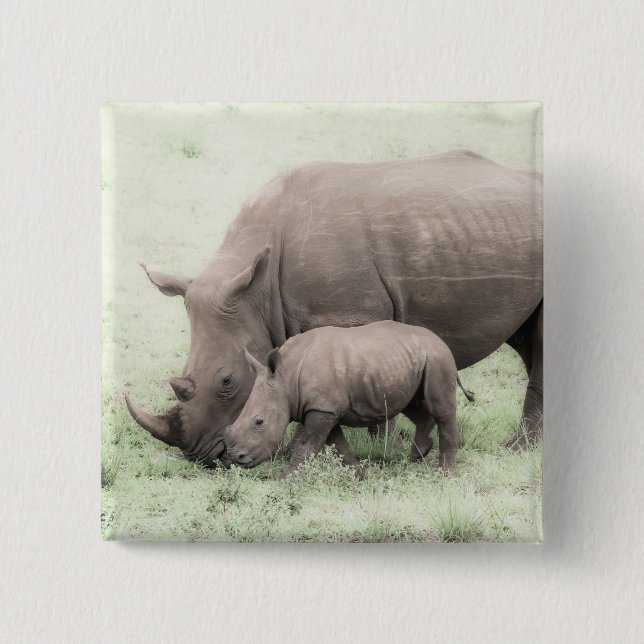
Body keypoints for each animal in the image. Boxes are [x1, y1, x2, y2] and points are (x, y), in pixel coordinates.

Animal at [224, 321, 476, 476]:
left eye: (259, 422)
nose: (237, 458)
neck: (286, 377)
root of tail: (441, 341)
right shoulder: (324, 407)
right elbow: (336, 444)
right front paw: (360, 473)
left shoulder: (322, 408)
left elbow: (308, 444)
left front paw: (285, 477)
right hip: (412, 359)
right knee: (412, 405)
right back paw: (418, 454)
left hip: (438, 358)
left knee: (439, 408)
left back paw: (445, 472)